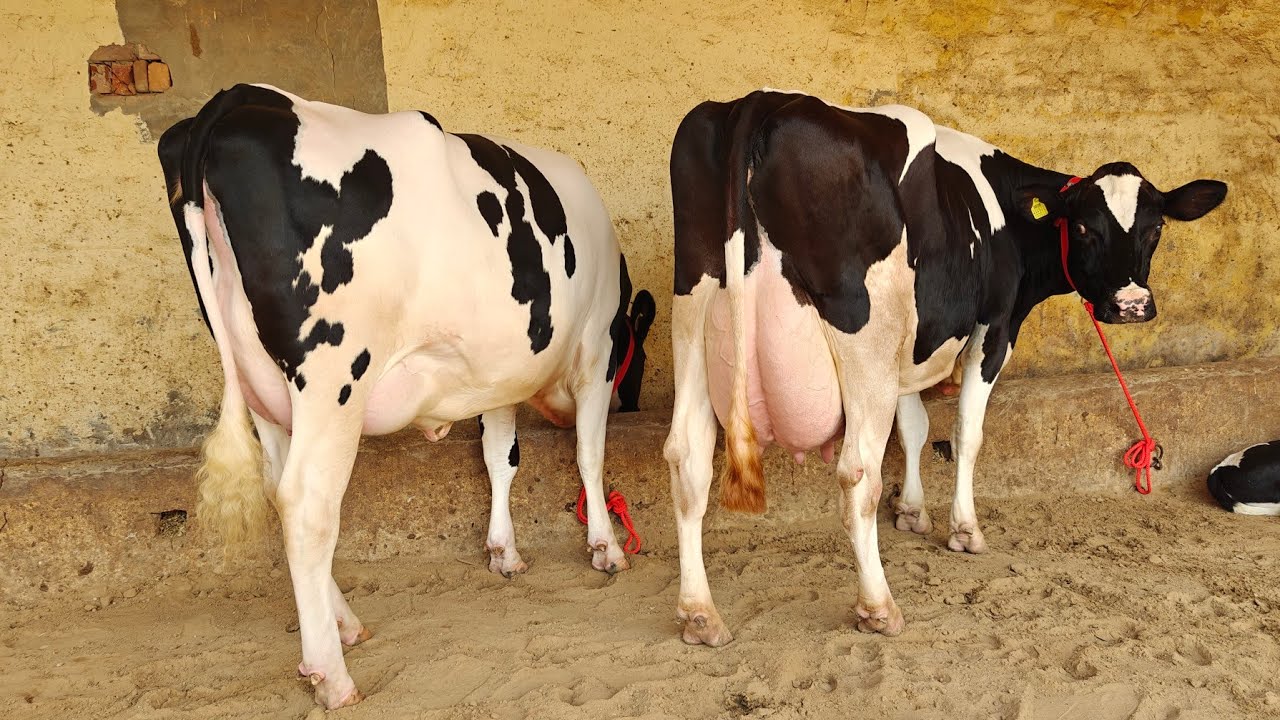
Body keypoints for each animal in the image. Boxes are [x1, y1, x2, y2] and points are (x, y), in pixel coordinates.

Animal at [157, 83, 647, 708]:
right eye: (636, 359)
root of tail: (240, 99)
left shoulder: (497, 374)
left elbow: (501, 457)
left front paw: (504, 551)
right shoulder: (596, 351)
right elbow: (590, 454)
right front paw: (605, 547)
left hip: (261, 381)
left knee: (276, 486)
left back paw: (344, 624)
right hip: (333, 379)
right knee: (307, 504)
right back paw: (332, 674)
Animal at [664, 89, 1227, 646]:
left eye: (1156, 229)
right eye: (1085, 226)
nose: (1131, 305)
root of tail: (762, 100)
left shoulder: (910, 346)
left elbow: (913, 426)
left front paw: (912, 512)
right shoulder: (994, 327)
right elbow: (965, 434)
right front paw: (965, 530)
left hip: (693, 320)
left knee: (687, 458)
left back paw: (699, 614)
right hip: (864, 337)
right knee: (857, 473)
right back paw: (878, 606)